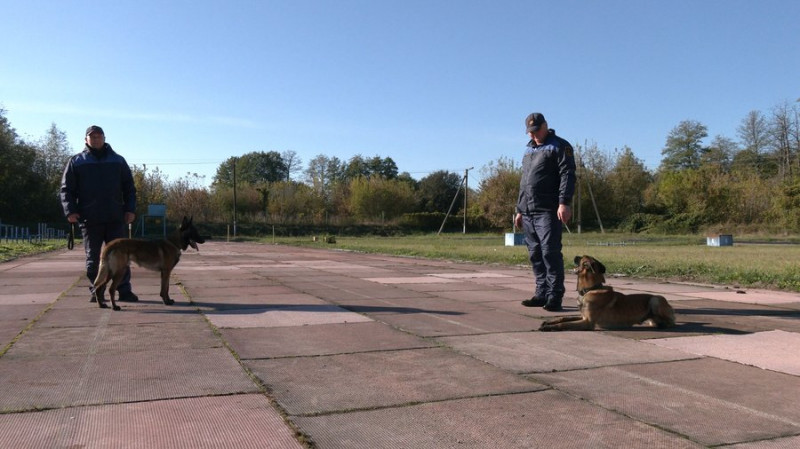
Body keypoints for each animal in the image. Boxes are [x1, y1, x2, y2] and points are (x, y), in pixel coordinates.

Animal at [536, 254, 676, 330]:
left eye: (581, 258)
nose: (575, 256)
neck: (591, 289)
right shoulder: (582, 316)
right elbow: (564, 317)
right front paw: (549, 322)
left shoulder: (587, 322)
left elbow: (565, 324)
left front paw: (549, 327)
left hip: (655, 299)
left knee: (671, 322)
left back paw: (663, 325)